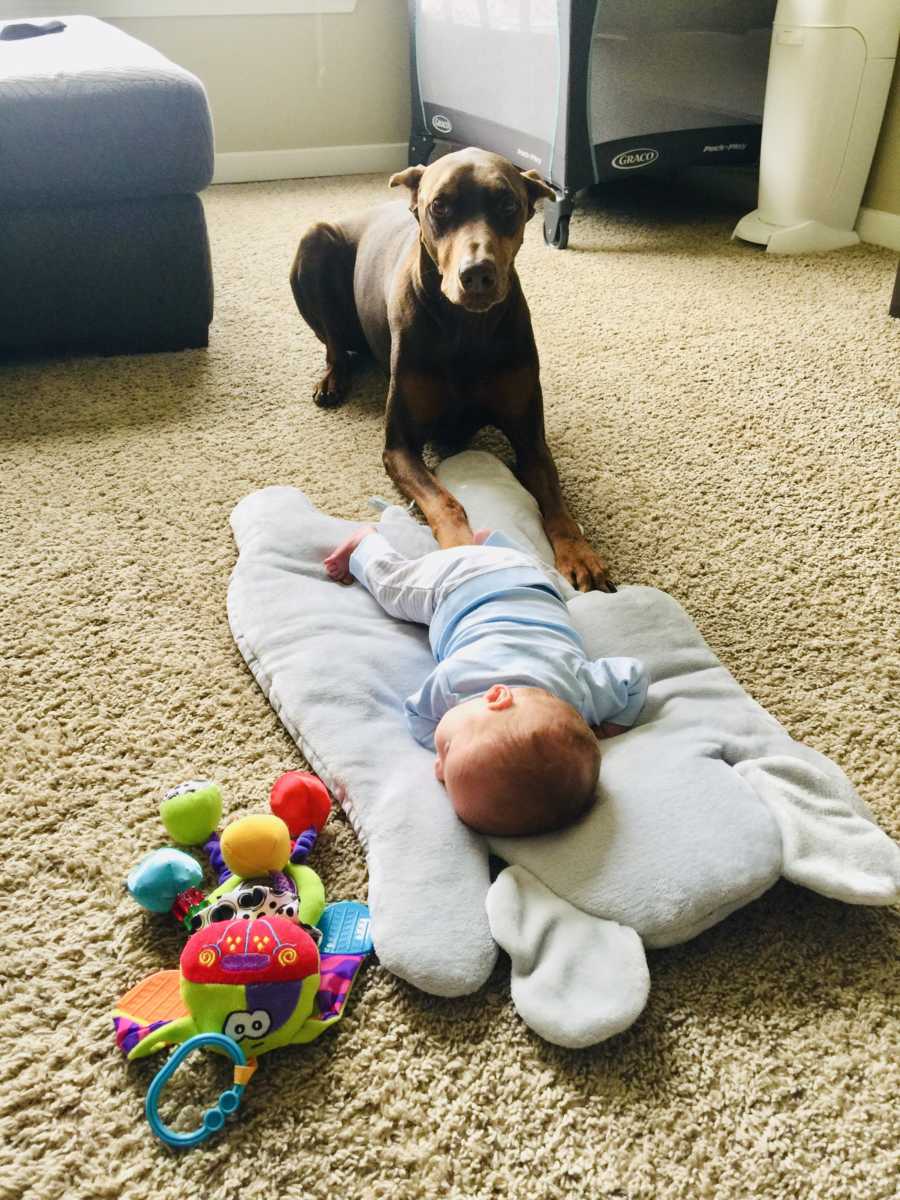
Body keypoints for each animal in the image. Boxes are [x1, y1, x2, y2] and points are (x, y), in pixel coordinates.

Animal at [294, 144, 614, 590]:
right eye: (440, 206)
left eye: (508, 204)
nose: (477, 273)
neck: (466, 328)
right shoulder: (400, 446)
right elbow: (445, 501)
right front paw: (462, 550)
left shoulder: (530, 436)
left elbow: (554, 499)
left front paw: (581, 555)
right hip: (314, 240)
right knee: (335, 345)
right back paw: (332, 380)